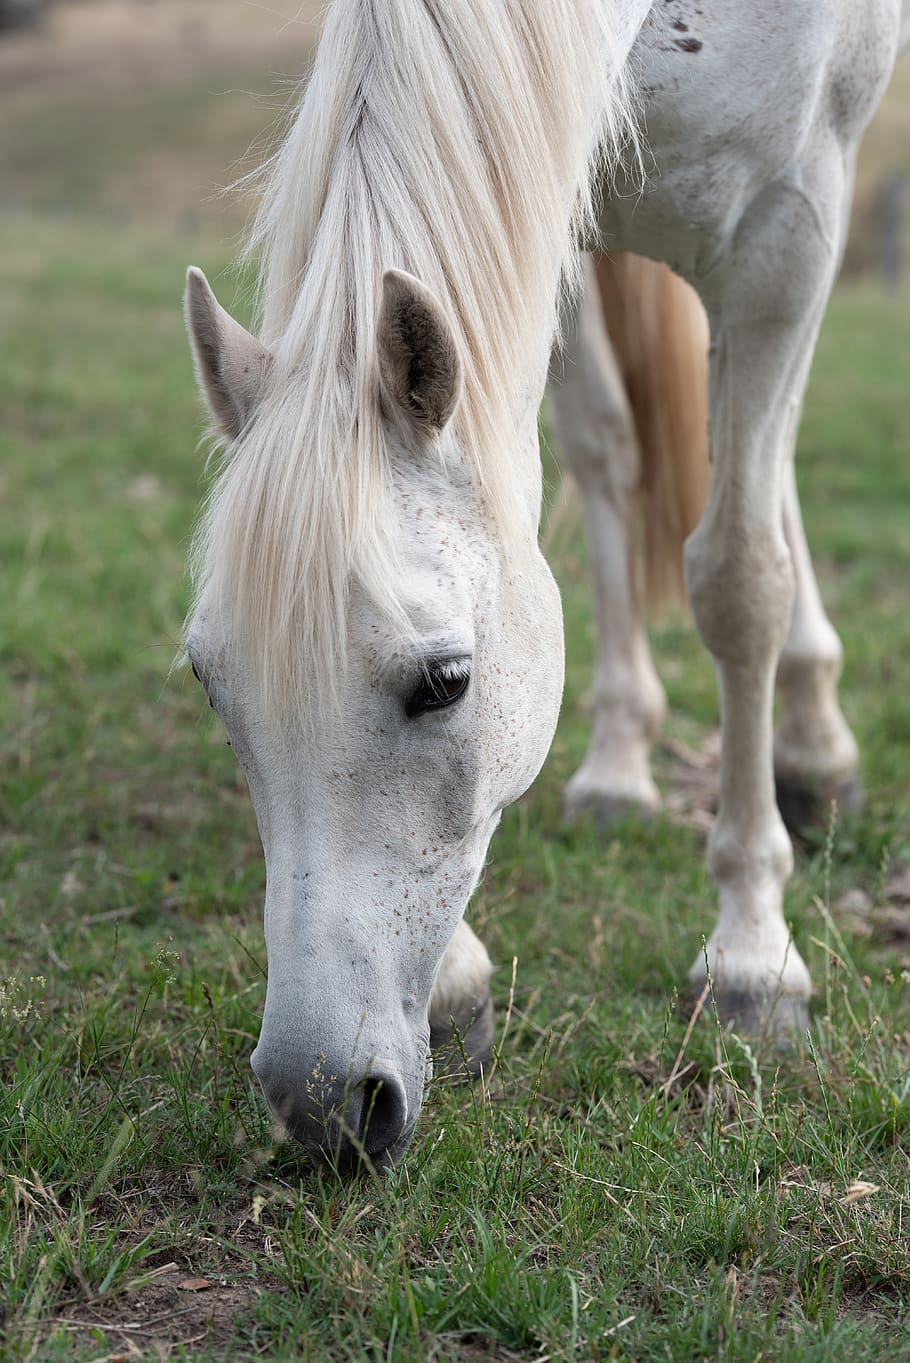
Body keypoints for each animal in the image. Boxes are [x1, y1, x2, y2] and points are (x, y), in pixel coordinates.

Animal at [181, 2, 899, 1172]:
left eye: (445, 682)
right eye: (210, 684)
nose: (320, 1103)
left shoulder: (791, 226)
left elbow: (740, 576)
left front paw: (753, 956)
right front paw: (458, 982)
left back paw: (813, 744)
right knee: (613, 456)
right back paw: (622, 764)